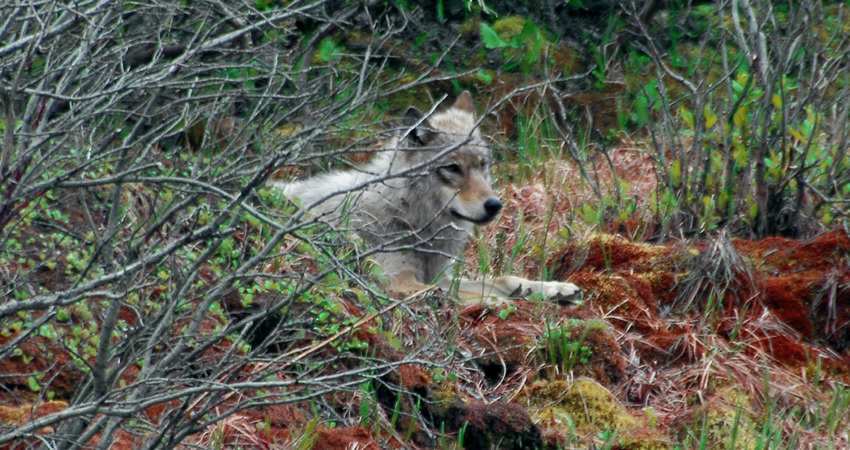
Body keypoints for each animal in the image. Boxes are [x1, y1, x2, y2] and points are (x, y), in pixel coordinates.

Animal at [274, 91, 580, 304]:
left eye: (482, 165)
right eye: (453, 168)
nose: (495, 205)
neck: (406, 216)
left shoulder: (441, 276)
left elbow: (503, 279)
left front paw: (552, 288)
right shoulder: (401, 283)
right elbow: (472, 293)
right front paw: (498, 301)